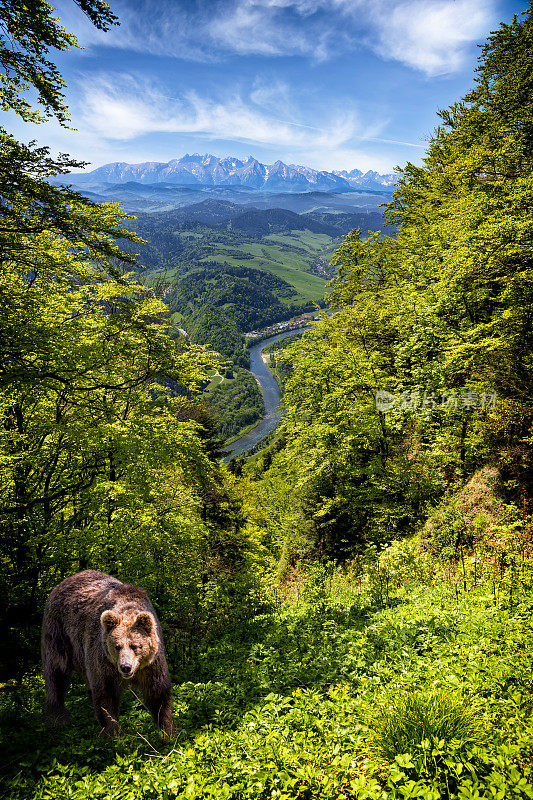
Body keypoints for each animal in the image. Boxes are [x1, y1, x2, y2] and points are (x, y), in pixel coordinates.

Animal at [42, 568, 175, 736]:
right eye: (117, 646)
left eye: (135, 646)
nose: (126, 667)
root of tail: (64, 582)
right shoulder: (103, 661)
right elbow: (105, 695)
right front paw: (113, 731)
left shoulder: (151, 664)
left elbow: (158, 693)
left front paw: (168, 731)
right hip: (58, 632)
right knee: (56, 671)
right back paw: (58, 718)